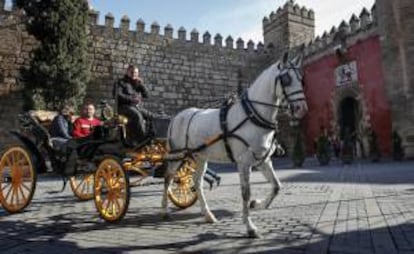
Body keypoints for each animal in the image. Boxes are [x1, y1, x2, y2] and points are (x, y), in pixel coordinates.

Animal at [162, 53, 308, 238]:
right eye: (286, 79)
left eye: (302, 79)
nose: (302, 108)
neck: (252, 115)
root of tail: (177, 116)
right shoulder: (244, 162)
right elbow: (246, 193)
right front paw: (250, 226)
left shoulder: (263, 160)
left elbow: (276, 186)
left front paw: (257, 204)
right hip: (177, 155)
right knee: (168, 177)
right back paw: (165, 211)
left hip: (201, 157)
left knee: (197, 182)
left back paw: (207, 214)